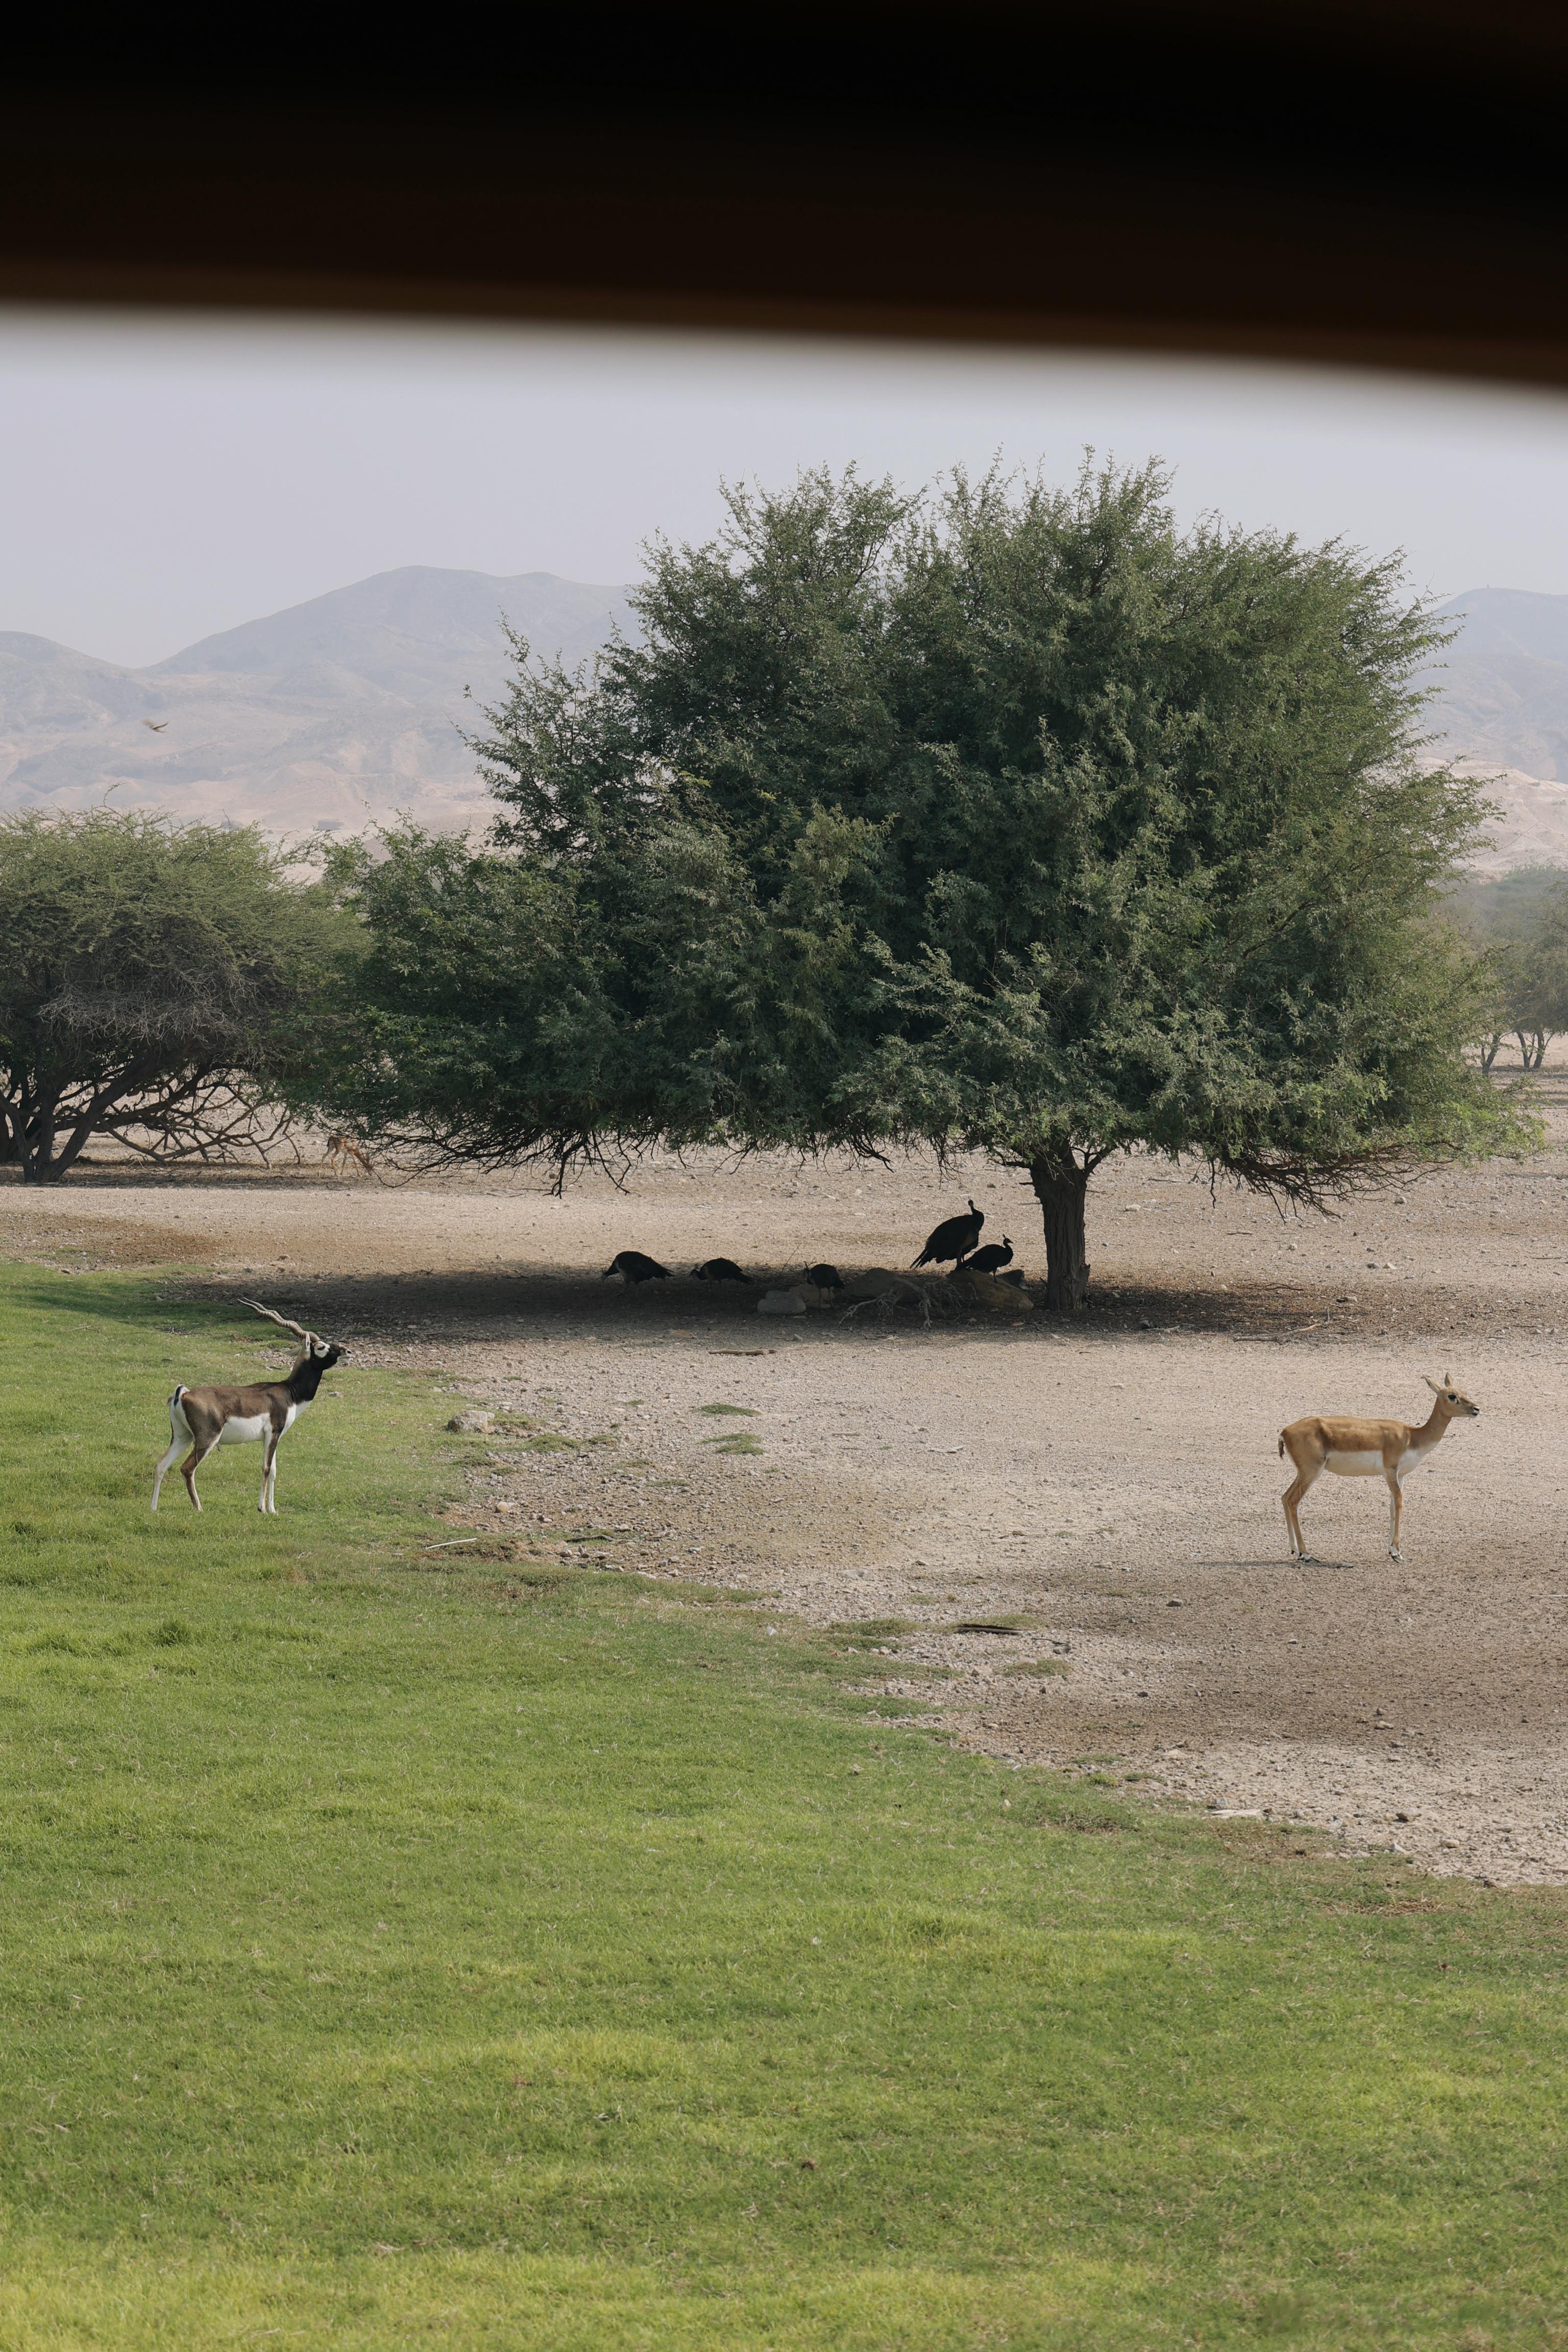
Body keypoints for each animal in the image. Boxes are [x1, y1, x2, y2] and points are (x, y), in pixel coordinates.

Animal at [152, 1298, 346, 1514]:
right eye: (321, 1347)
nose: (347, 1351)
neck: (290, 1393)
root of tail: (183, 1394)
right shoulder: (273, 1432)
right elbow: (266, 1469)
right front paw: (262, 1508)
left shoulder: (273, 1437)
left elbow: (274, 1471)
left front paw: (273, 1510)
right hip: (207, 1439)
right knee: (187, 1469)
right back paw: (199, 1509)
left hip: (182, 1437)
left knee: (161, 1465)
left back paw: (153, 1508)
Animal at [1279, 1364, 1476, 1561]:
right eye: (1452, 1396)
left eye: (1463, 1392)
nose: (1477, 1409)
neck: (1412, 1437)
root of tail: (1285, 1432)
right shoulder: (1390, 1471)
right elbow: (1399, 1502)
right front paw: (1398, 1553)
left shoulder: (1400, 1475)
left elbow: (1392, 1507)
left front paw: (1391, 1550)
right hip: (1312, 1472)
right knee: (1294, 1502)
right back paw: (1305, 1553)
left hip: (1303, 1473)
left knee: (1285, 1497)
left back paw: (1294, 1549)